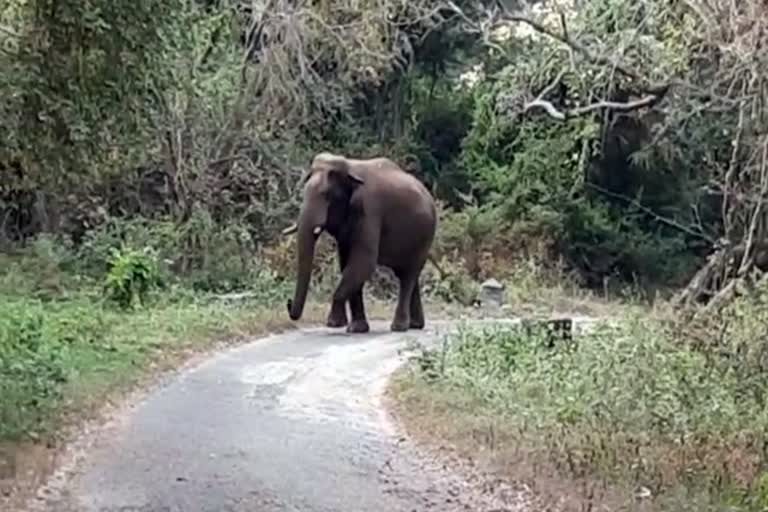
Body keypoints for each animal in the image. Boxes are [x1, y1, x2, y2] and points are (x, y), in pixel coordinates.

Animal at [282, 150, 438, 334]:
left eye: (327, 195)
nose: (288, 302)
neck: (350, 168)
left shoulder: (369, 209)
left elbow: (362, 262)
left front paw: (334, 323)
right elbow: (347, 264)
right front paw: (356, 328)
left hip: (425, 235)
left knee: (408, 275)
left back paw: (399, 327)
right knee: (408, 275)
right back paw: (415, 325)